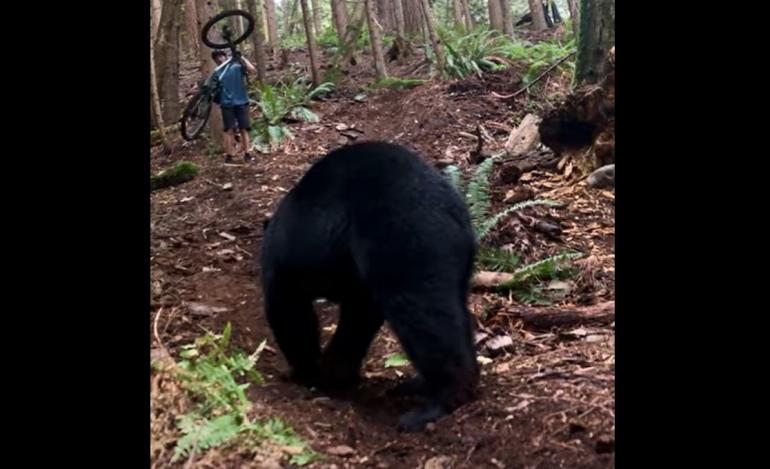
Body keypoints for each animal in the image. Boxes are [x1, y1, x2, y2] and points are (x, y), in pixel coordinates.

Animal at [260, 142, 484, 432]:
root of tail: (456, 215)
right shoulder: (356, 282)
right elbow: (357, 320)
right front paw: (335, 373)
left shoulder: (286, 269)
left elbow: (290, 313)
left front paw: (307, 372)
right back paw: (416, 385)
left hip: (407, 241)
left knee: (425, 317)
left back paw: (434, 404)